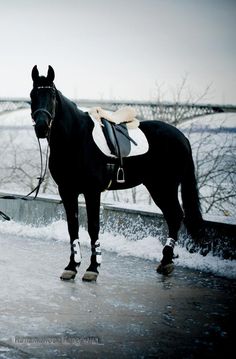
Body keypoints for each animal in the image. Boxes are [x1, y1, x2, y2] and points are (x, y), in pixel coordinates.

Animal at [30, 67, 203, 282]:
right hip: (157, 186)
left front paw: (93, 268)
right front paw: (72, 266)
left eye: (52, 95)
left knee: (175, 215)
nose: (41, 127)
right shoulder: (67, 190)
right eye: (32, 95)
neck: (76, 139)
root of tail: (182, 137)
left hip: (165, 186)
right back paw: (166, 262)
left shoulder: (92, 191)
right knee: (173, 215)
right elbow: (73, 227)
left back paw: (166, 261)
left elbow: (93, 227)